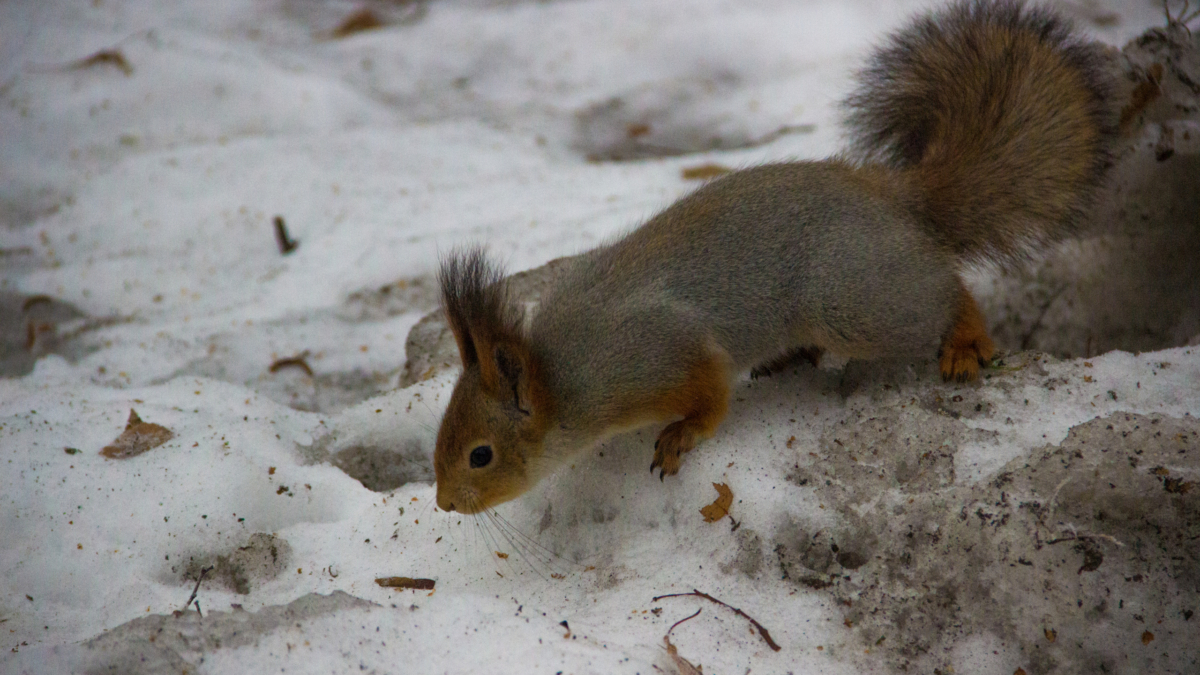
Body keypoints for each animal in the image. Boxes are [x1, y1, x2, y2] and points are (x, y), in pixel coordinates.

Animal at [432, 0, 1113, 509]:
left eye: (480, 455)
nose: (444, 504)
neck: (563, 373)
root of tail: (897, 199)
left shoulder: (661, 357)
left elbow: (709, 393)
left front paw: (681, 436)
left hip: (855, 300)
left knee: (946, 294)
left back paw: (965, 344)